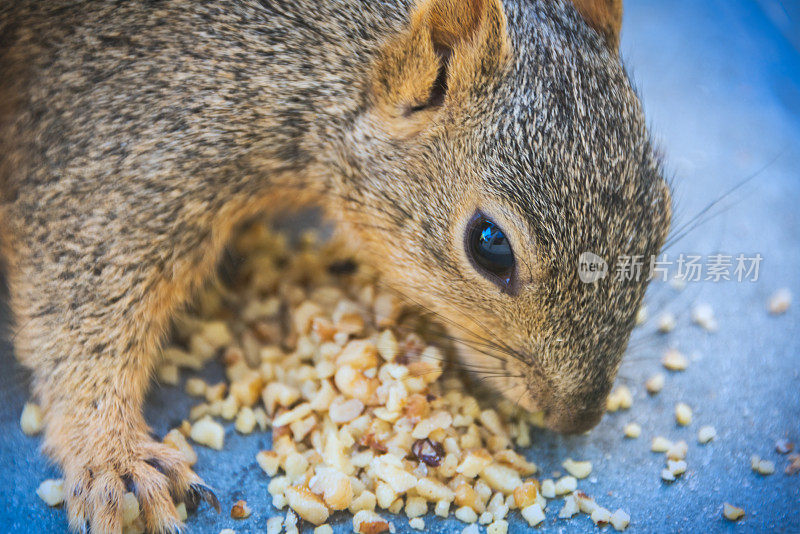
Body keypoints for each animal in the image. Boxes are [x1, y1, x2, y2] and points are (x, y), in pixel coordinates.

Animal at [0, 0, 668, 532]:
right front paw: (114, 460)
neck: (319, 55)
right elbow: (83, 283)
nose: (579, 418)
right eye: (490, 245)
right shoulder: (135, 131)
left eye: (661, 209)